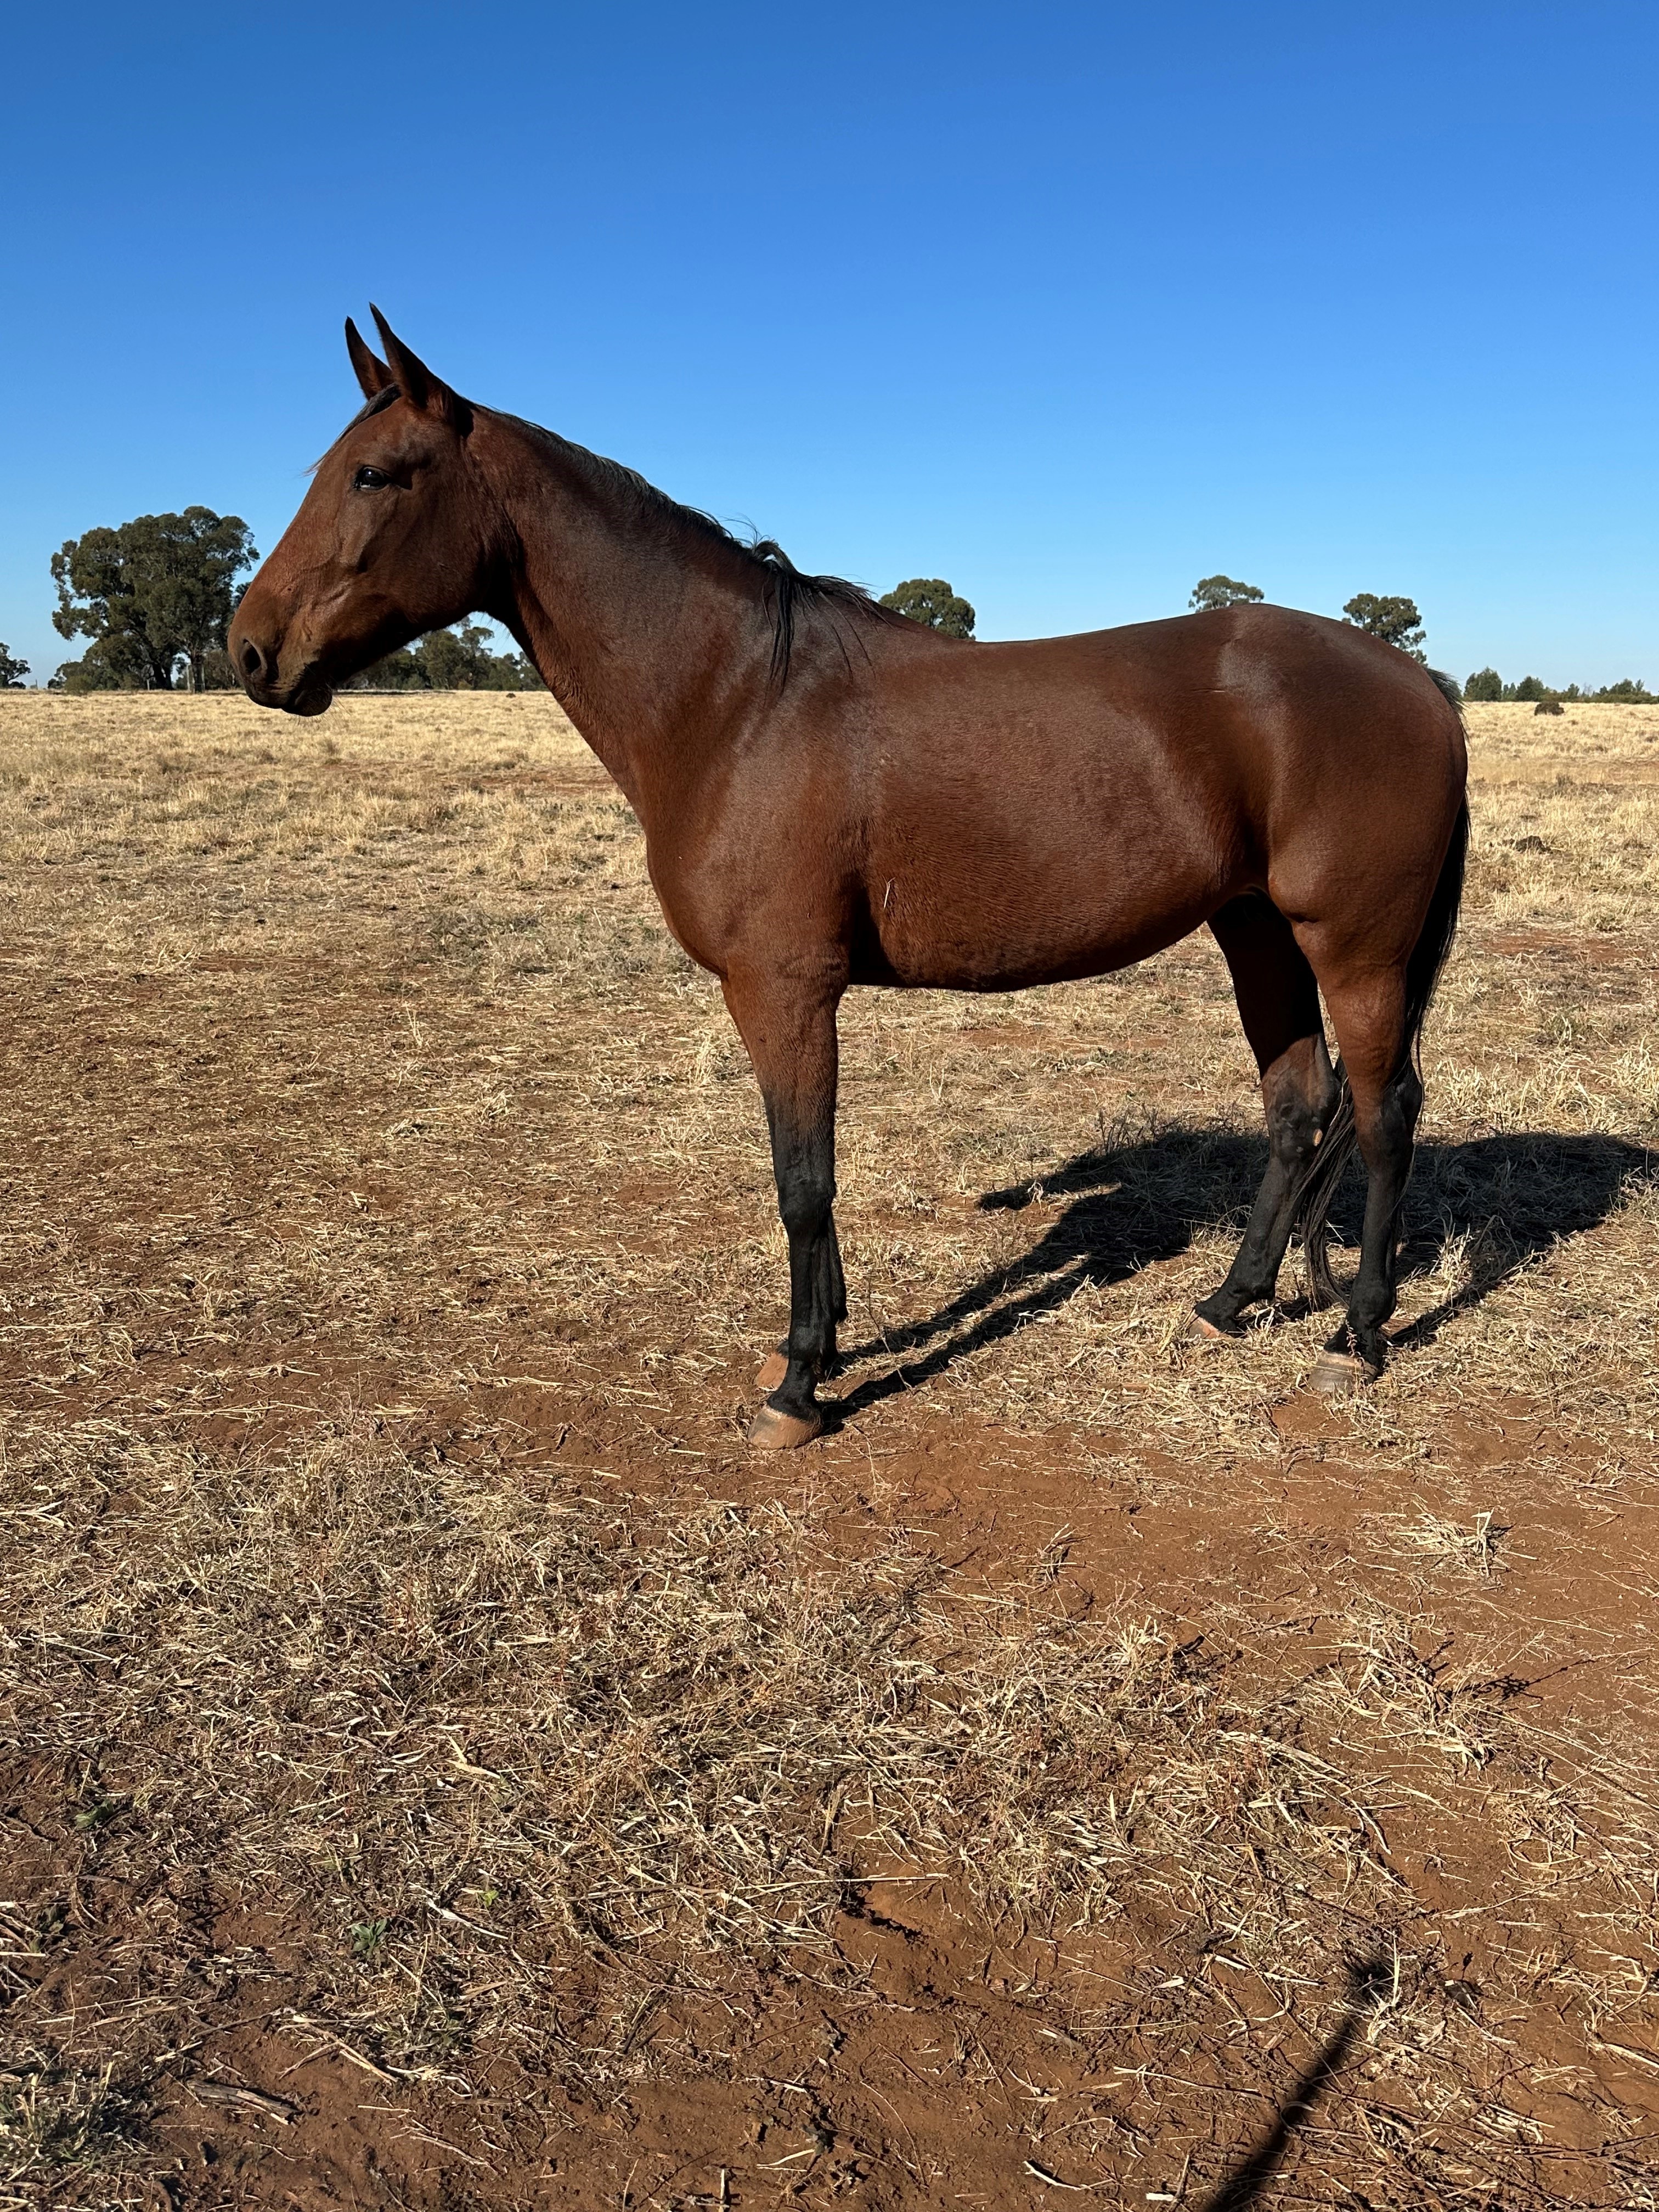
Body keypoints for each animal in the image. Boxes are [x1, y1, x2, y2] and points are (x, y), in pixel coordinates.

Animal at [230, 310, 1469, 1449]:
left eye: (374, 473)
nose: (250, 651)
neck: (736, 702)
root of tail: (1419, 682)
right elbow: (806, 1178)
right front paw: (824, 1343)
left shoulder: (782, 988)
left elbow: (803, 1180)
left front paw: (797, 1387)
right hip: (1255, 930)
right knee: (1298, 1103)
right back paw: (1227, 1303)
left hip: (1351, 947)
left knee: (1384, 1111)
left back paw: (1356, 1336)